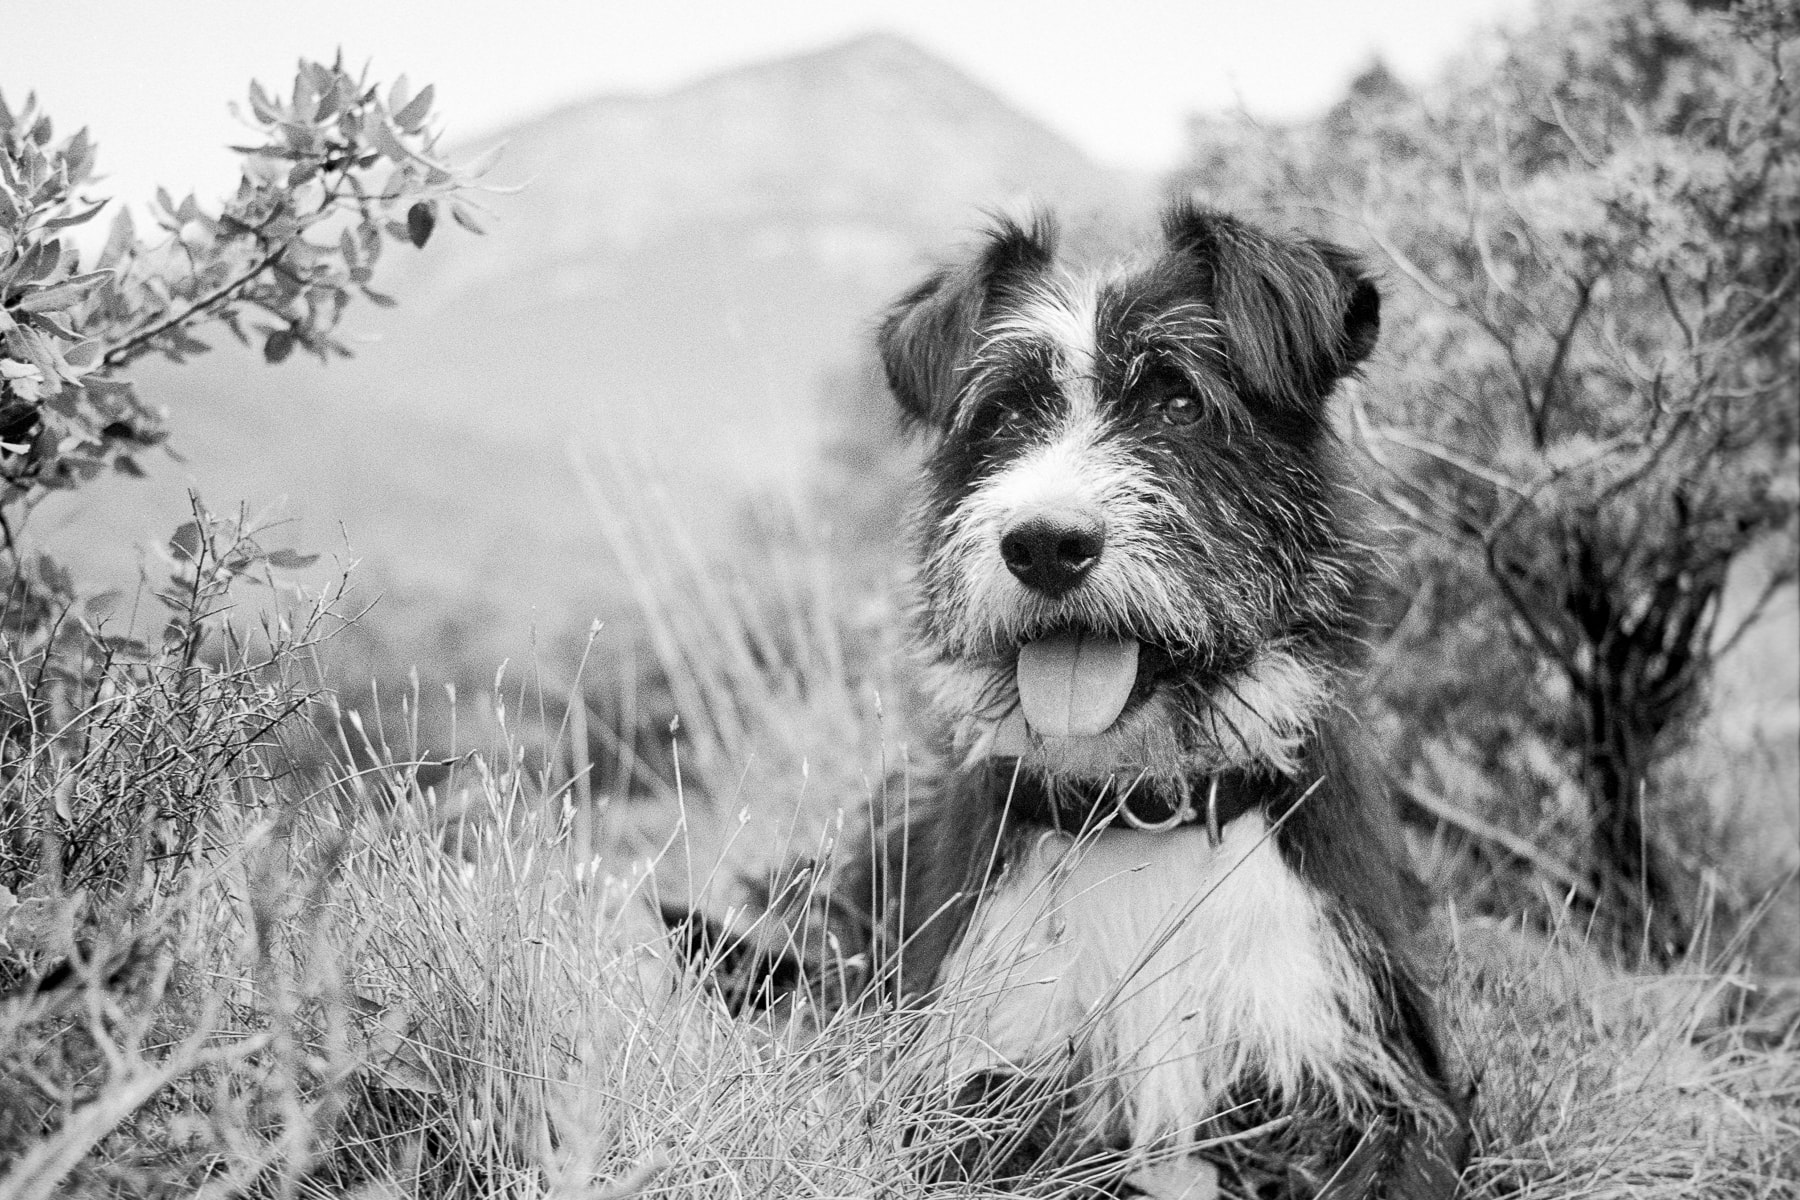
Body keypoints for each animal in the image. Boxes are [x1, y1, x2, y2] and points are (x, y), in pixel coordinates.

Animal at [856, 201, 1476, 1194]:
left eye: (1179, 402)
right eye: (1006, 413)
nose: (1045, 543)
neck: (1146, 804)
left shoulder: (1366, 1069)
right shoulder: (967, 1074)